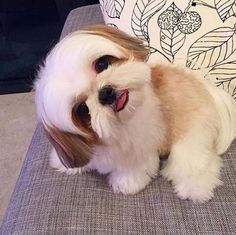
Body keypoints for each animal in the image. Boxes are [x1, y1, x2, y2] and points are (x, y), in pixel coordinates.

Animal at [35, 25, 236, 202]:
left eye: (101, 64)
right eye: (82, 109)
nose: (105, 93)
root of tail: (208, 89)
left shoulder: (140, 148)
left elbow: (133, 169)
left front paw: (126, 184)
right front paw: (63, 163)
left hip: (191, 133)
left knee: (194, 162)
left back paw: (196, 188)